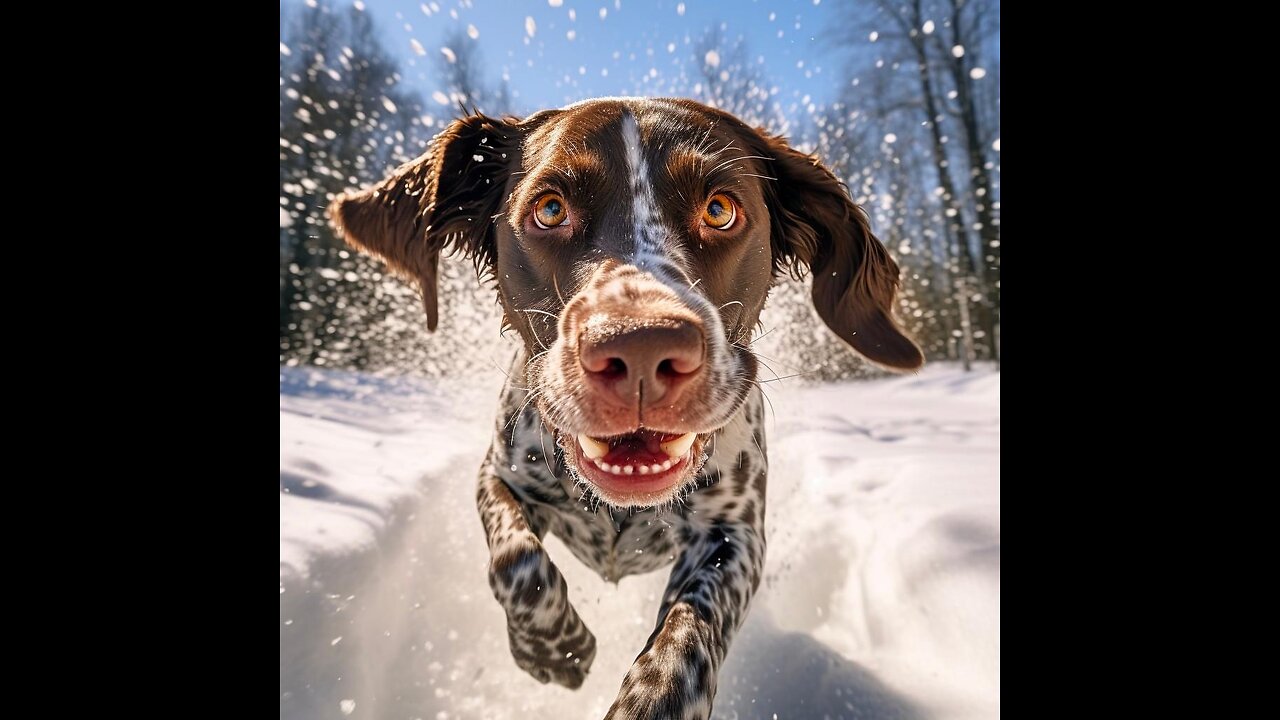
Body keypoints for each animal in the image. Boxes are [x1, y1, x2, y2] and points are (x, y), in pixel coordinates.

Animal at [330, 96, 921, 717]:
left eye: (720, 210)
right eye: (549, 209)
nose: (641, 348)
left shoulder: (734, 537)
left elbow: (688, 633)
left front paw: (651, 694)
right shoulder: (499, 477)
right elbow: (515, 559)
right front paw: (554, 649)